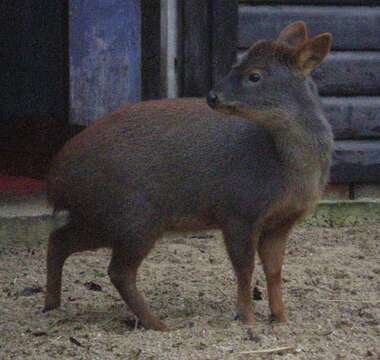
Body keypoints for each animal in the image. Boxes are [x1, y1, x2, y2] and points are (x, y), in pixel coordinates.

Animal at [43, 22, 332, 330]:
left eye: (255, 75)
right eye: (237, 63)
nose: (212, 96)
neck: (286, 171)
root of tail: (55, 178)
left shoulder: (282, 220)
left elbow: (275, 270)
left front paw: (280, 317)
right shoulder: (237, 210)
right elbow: (245, 269)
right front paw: (247, 318)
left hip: (101, 216)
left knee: (60, 240)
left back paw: (52, 304)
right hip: (132, 215)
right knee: (118, 270)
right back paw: (158, 324)